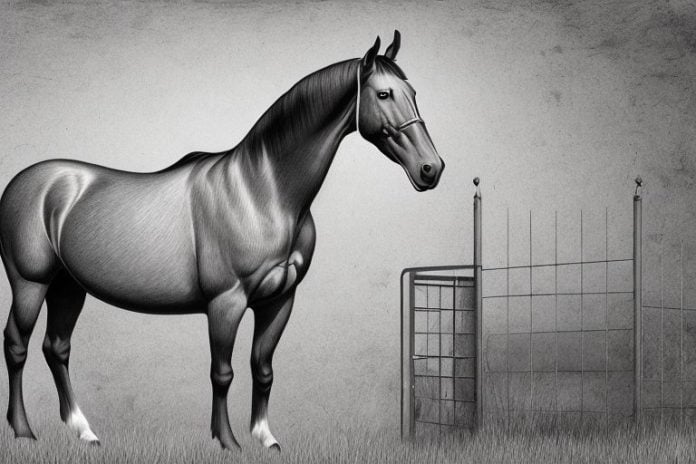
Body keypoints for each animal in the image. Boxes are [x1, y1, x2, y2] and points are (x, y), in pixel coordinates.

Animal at [0, 30, 443, 451]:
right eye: (383, 93)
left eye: (414, 93)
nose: (431, 169)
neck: (262, 191)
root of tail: (24, 182)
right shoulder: (225, 302)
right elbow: (223, 372)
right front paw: (227, 440)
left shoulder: (279, 301)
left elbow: (262, 369)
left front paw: (266, 437)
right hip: (30, 284)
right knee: (17, 345)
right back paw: (23, 431)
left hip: (67, 287)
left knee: (57, 347)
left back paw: (84, 431)